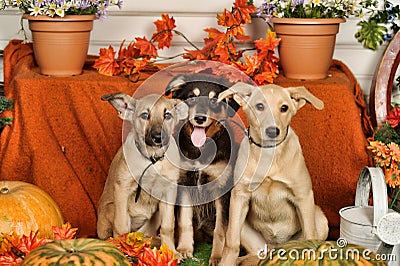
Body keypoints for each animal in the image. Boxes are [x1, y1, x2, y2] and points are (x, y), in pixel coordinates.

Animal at [97, 92, 188, 258]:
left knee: (147, 235)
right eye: (145, 115)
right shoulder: (122, 189)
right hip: (111, 209)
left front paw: (171, 252)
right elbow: (120, 226)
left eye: (167, 115)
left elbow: (168, 226)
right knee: (119, 234)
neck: (152, 160)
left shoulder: (168, 193)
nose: (158, 137)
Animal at [166, 74, 241, 264]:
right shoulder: (185, 184)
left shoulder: (222, 190)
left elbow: (220, 228)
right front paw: (184, 249)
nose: (200, 118)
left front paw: (218, 257)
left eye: (214, 100)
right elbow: (184, 220)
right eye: (191, 97)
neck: (201, 150)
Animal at [219, 82, 328, 264]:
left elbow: (309, 236)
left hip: (319, 217)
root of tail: (275, 249)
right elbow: (231, 242)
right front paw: (226, 263)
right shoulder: (239, 197)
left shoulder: (303, 196)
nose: (272, 131)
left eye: (284, 108)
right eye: (259, 106)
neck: (268, 154)